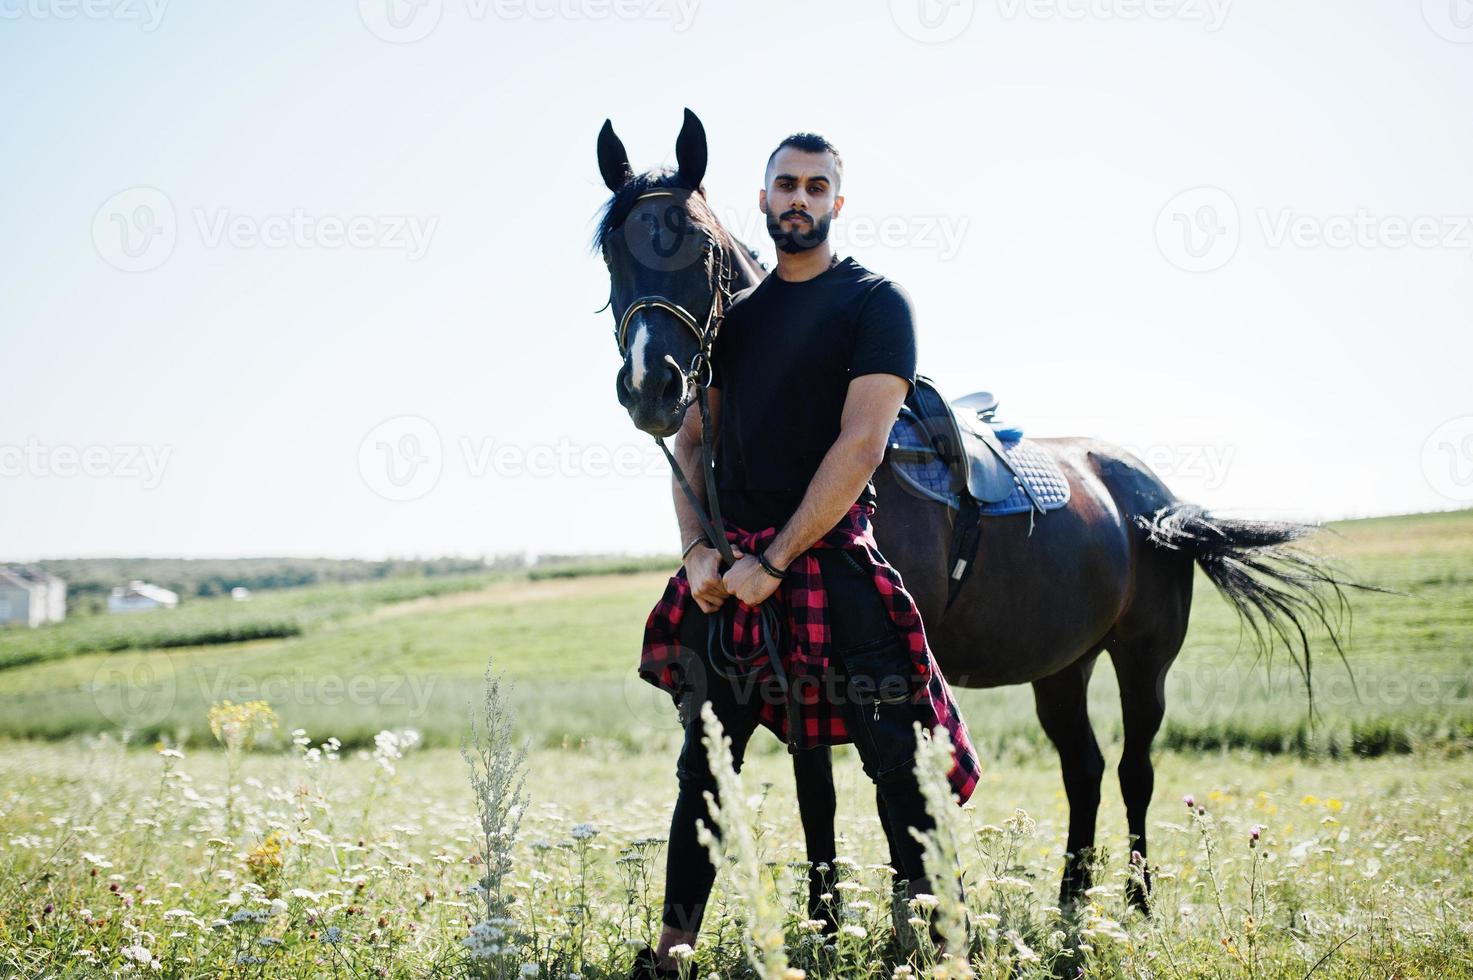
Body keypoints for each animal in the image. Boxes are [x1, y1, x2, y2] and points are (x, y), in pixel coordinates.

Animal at [592, 106, 1349, 907]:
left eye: (699, 244)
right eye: (612, 251)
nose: (651, 385)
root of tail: (1156, 498)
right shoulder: (794, 673)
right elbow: (815, 800)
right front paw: (825, 922)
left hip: (1143, 661)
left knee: (1133, 767)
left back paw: (1137, 902)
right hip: (1063, 664)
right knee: (1082, 767)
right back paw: (1071, 900)